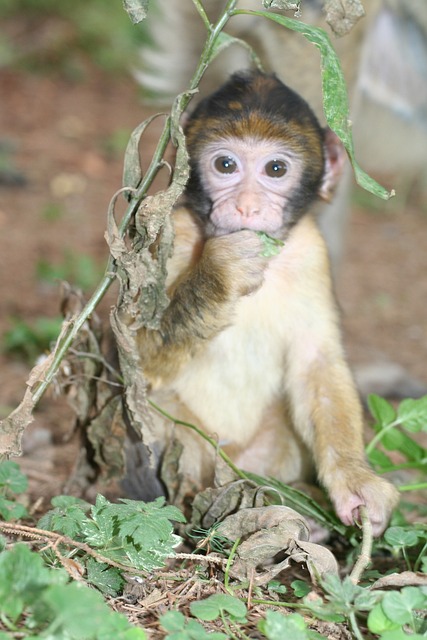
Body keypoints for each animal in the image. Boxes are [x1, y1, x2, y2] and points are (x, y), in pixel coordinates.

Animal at [129, 71, 400, 536]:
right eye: (225, 165)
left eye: (276, 169)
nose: (247, 207)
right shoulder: (171, 233)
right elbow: (135, 356)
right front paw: (221, 272)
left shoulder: (311, 252)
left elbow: (316, 363)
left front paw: (355, 481)